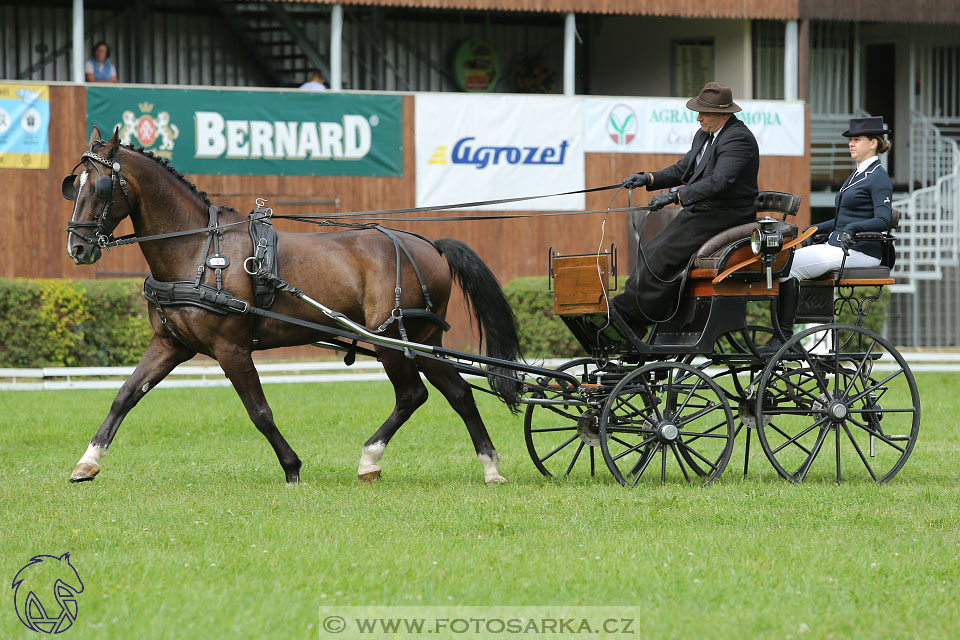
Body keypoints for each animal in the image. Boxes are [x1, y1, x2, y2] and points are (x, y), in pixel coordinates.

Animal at [62, 125, 520, 484]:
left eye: (100, 186)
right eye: (73, 184)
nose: (78, 248)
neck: (198, 250)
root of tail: (430, 245)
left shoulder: (231, 348)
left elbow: (259, 411)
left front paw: (292, 468)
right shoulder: (170, 344)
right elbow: (125, 395)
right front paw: (88, 461)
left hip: (393, 338)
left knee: (413, 394)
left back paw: (372, 459)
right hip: (419, 340)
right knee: (456, 392)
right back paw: (488, 467)